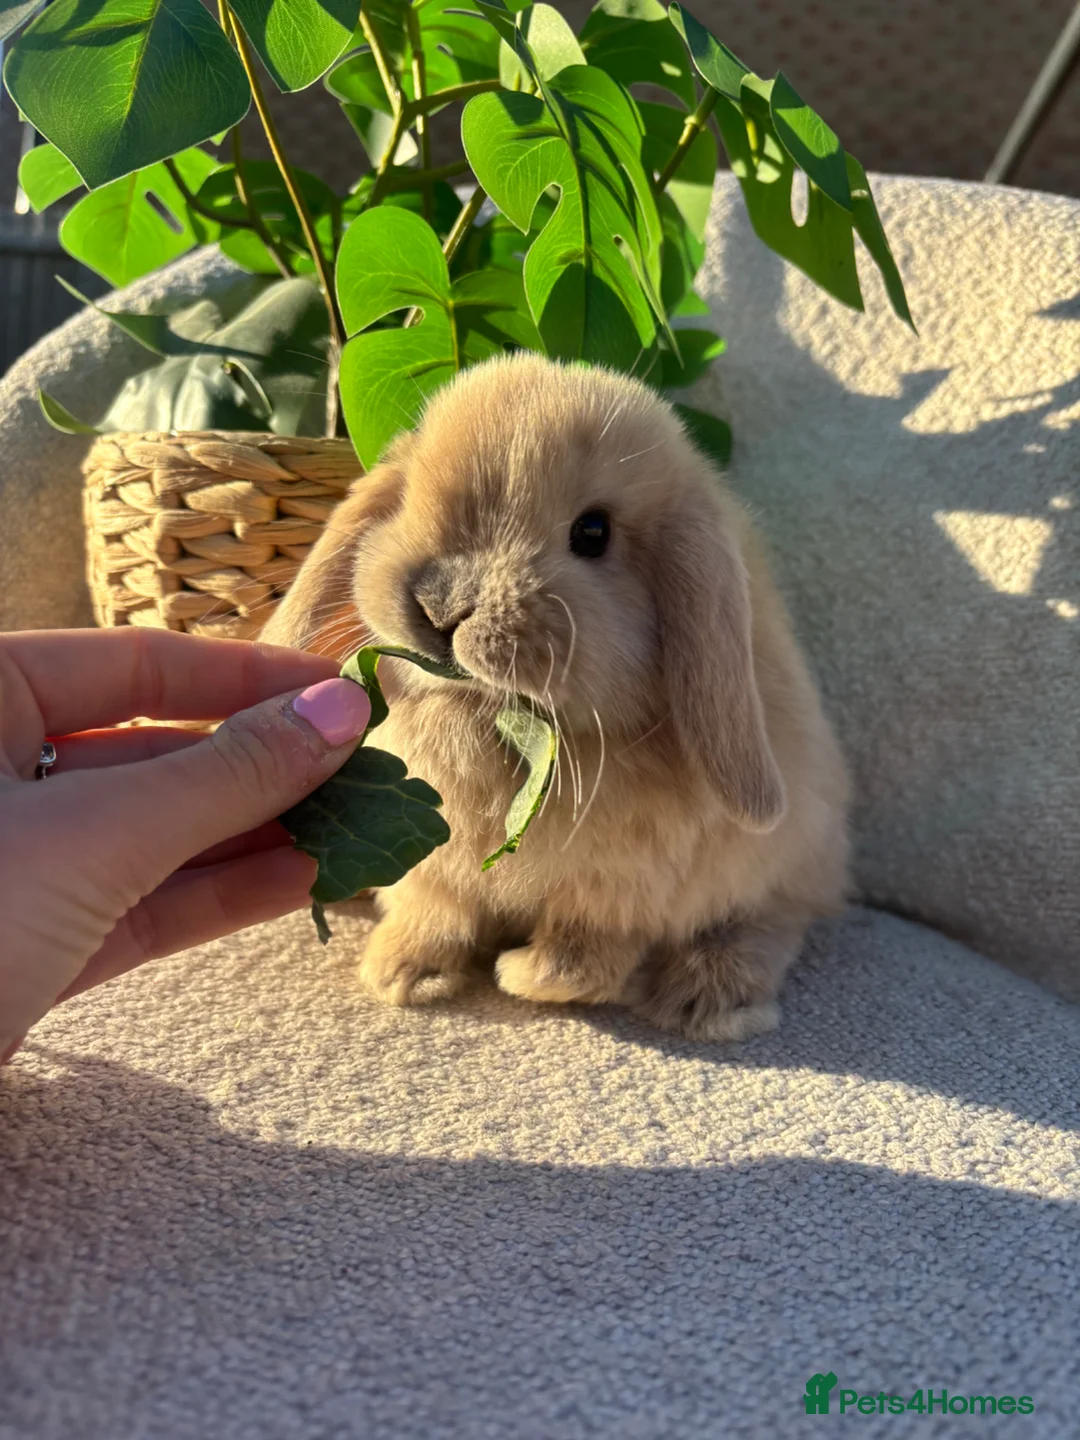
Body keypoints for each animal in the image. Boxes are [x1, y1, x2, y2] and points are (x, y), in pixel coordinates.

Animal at [260, 352, 850, 1041]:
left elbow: (585, 954)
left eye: (592, 532)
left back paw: (704, 999)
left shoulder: (621, 887)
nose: (440, 607)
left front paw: (522, 976)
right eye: (406, 499)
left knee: (770, 922)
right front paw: (401, 976)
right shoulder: (434, 872)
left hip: (783, 859)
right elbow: (435, 913)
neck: (484, 713)